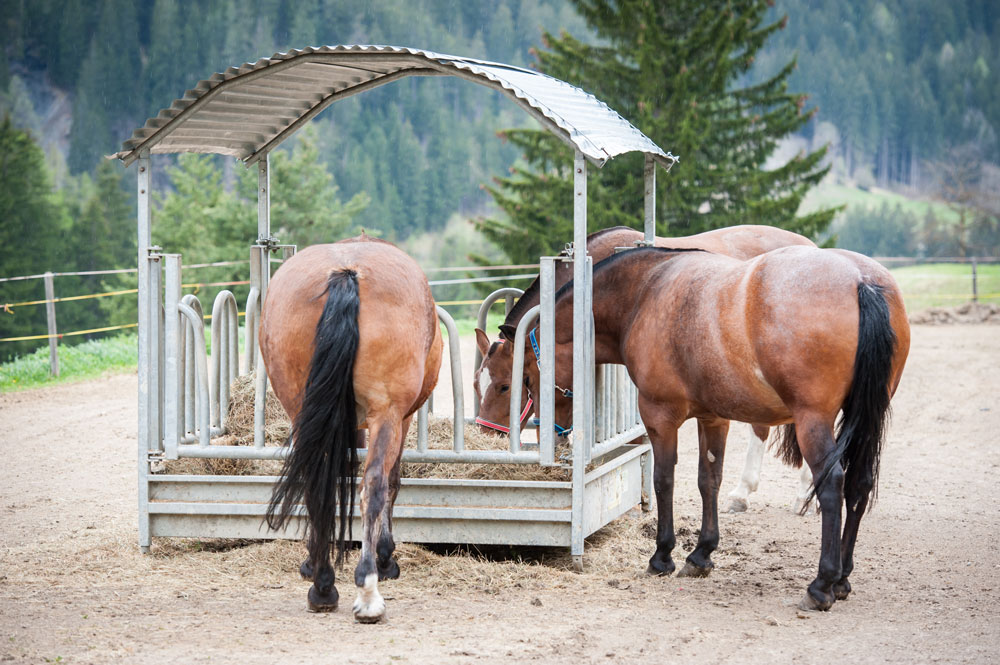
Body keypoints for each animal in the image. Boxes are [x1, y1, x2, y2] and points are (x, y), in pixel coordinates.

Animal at [262, 236, 442, 620]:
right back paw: (368, 589)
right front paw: (386, 558)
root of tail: (346, 272)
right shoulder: (399, 418)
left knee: (316, 484)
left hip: (301, 409)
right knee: (374, 484)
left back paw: (323, 586)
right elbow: (391, 481)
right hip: (387, 413)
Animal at [508, 246, 908, 608]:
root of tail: (861, 280)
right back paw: (842, 579)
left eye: (525, 379)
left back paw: (822, 584)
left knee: (832, 487)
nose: (551, 436)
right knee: (858, 485)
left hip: (813, 421)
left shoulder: (660, 417)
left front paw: (662, 556)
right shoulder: (713, 418)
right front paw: (701, 554)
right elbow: (708, 480)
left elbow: (664, 479)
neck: (645, 291)